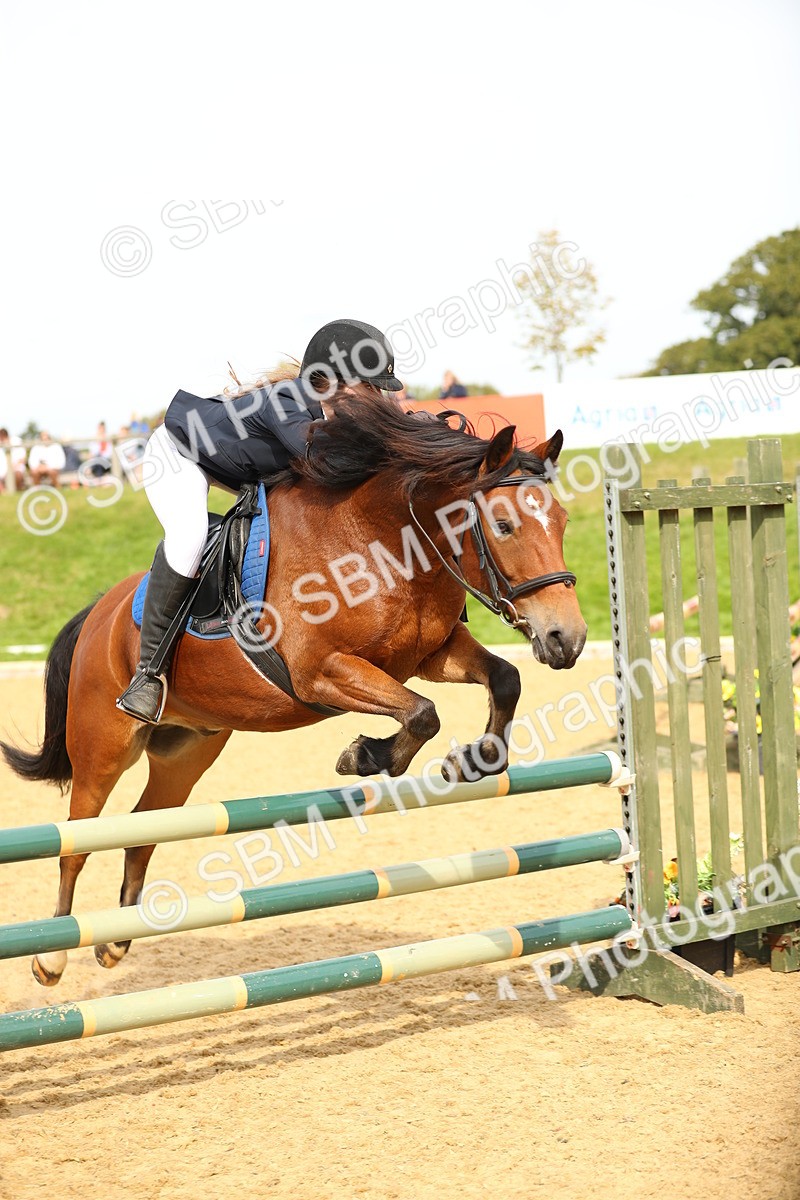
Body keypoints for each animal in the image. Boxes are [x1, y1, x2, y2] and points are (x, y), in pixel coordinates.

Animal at [1, 391, 586, 986]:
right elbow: (423, 714)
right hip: (104, 745)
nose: (568, 639)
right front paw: (365, 755)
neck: (380, 541)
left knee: (143, 829)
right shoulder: (320, 672)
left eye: (561, 521)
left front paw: (474, 761)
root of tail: (99, 611)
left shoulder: (427, 656)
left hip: (186, 750)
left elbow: (503, 679)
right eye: (504, 525)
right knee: (76, 841)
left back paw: (115, 943)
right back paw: (51, 958)